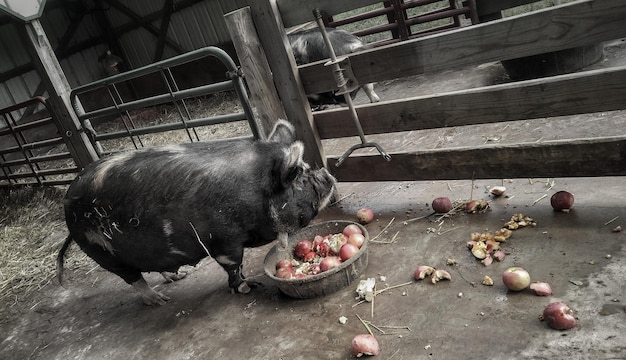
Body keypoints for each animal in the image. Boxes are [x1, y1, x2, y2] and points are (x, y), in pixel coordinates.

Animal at [57, 120, 336, 304]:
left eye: (306, 168)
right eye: (298, 177)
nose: (327, 174)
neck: (254, 191)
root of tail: (67, 202)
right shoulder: (224, 241)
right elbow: (234, 265)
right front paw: (248, 287)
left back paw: (178, 277)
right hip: (105, 254)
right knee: (133, 278)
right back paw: (160, 300)